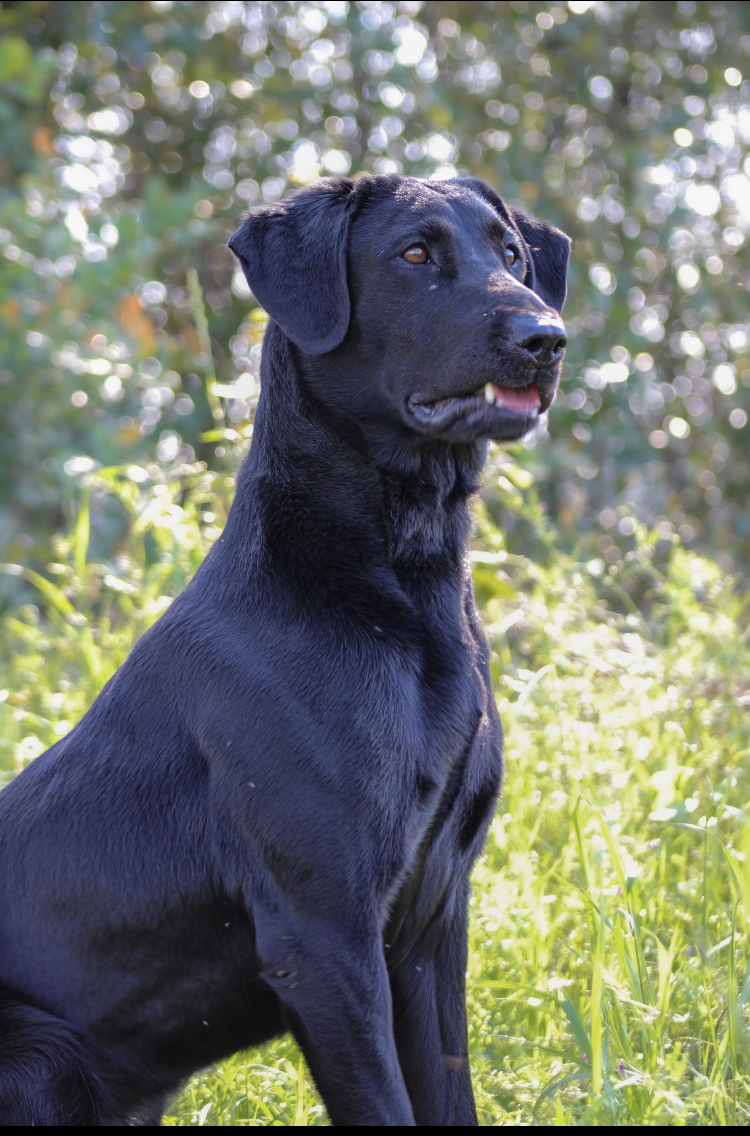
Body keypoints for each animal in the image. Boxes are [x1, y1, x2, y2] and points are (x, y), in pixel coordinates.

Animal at [0, 177, 568, 1126]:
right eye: (416, 254)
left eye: (513, 254)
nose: (547, 338)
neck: (400, 581)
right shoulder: (326, 938)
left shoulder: (432, 924)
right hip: (44, 1055)